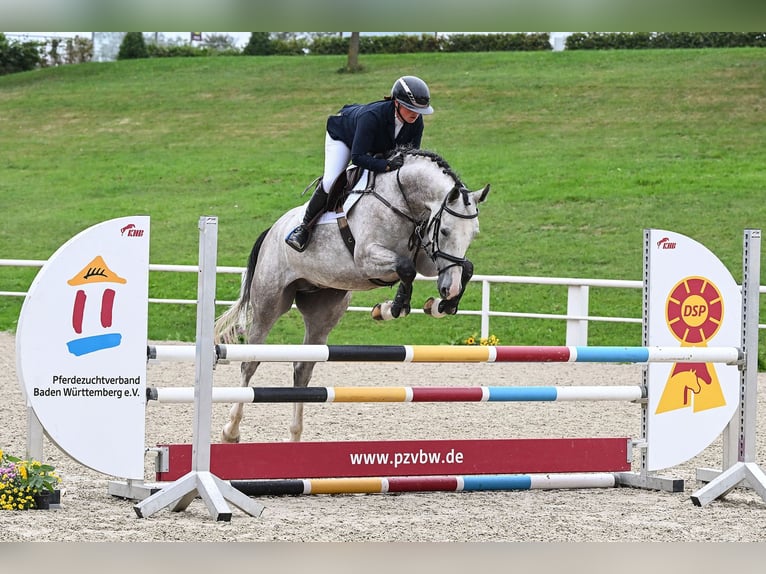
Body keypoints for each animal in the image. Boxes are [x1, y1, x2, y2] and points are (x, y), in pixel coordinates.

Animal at [216, 146, 492, 444]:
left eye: (473, 234)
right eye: (445, 230)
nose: (448, 289)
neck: (404, 201)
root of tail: (272, 231)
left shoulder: (428, 259)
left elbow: (463, 266)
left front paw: (441, 304)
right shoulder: (368, 258)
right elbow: (405, 270)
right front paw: (393, 308)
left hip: (324, 309)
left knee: (302, 369)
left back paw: (294, 436)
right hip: (270, 302)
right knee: (250, 362)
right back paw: (231, 431)